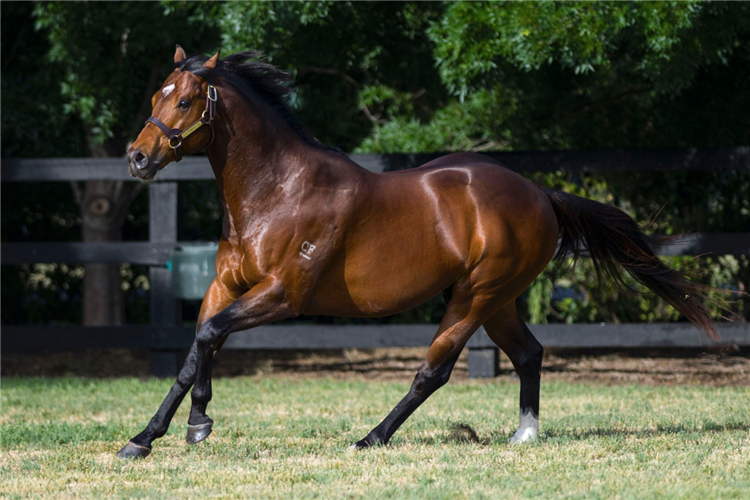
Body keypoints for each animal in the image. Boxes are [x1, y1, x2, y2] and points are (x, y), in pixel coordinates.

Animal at [117, 47, 724, 458]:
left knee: (434, 371)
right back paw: (524, 435)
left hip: (476, 296)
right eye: (155, 96)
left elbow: (207, 336)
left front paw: (185, 427)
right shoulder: (227, 284)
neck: (276, 190)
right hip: (498, 300)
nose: (137, 158)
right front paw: (158, 434)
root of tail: (538, 193)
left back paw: (371, 438)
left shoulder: (283, 295)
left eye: (186, 100)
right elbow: (195, 348)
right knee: (528, 354)